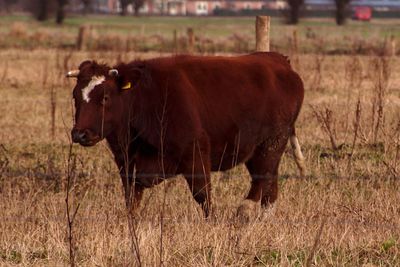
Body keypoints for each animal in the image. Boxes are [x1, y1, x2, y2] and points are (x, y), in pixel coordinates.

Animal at [67, 52, 304, 218]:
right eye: (75, 97)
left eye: (105, 97)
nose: (80, 134)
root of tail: (277, 60)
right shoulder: (127, 164)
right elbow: (131, 199)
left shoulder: (195, 154)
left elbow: (203, 196)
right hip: (259, 150)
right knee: (269, 188)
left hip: (271, 144)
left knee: (263, 181)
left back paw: (245, 211)